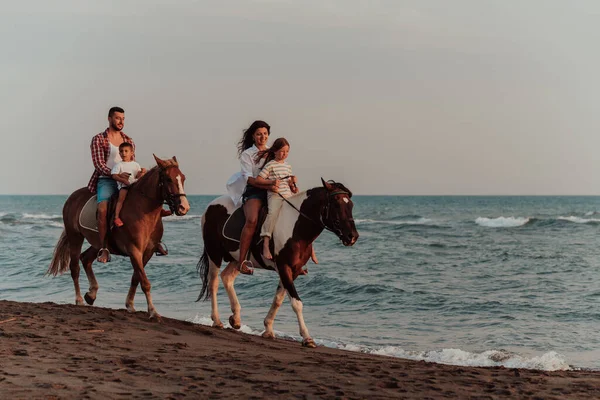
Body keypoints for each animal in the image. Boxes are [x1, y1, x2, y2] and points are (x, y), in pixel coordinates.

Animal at [47, 155, 190, 320]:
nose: (184, 207)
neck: (143, 210)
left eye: (183, 178)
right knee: (75, 267)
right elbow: (145, 282)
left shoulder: (147, 252)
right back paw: (79, 299)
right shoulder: (134, 250)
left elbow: (136, 278)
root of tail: (72, 197)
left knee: (86, 259)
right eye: (168, 179)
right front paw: (153, 311)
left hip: (97, 244)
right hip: (75, 236)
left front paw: (130, 305)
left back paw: (92, 293)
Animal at [197, 179, 358, 346]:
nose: (352, 236)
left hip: (237, 260)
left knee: (227, 277)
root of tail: (211, 205)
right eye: (337, 204)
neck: (296, 227)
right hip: (214, 253)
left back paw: (235, 318)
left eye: (351, 205)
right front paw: (307, 337)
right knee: (213, 283)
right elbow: (296, 303)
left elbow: (278, 299)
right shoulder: (284, 267)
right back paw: (216, 320)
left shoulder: (293, 270)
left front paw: (268, 329)